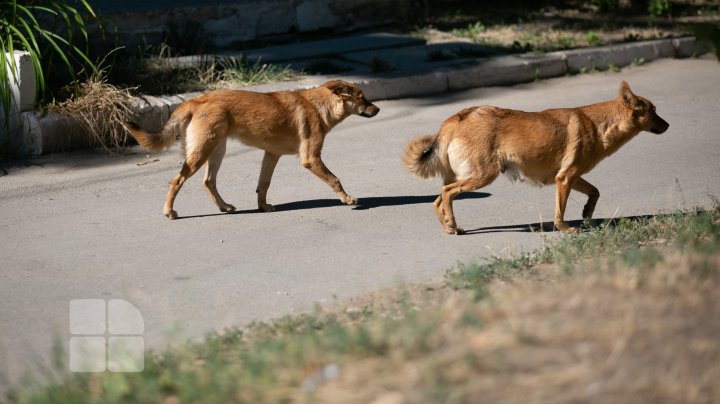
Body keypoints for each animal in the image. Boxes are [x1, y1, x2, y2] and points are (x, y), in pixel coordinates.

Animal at [126, 80, 380, 219]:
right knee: (177, 181)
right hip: (202, 152)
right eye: (362, 98)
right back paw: (169, 212)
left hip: (216, 151)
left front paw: (263, 206)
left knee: (209, 181)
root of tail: (195, 101)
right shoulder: (311, 158)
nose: (377, 109)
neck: (319, 106)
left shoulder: (271, 155)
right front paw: (347, 199)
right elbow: (335, 179)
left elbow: (263, 185)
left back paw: (224, 206)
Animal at [404, 81, 668, 234]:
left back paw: (451, 227)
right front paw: (565, 229)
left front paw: (586, 214)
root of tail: (456, 118)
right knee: (447, 194)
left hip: (464, 177)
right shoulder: (565, 179)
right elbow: (560, 210)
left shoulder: (571, 177)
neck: (598, 124)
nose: (667, 125)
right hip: (481, 177)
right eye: (654, 111)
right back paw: (451, 224)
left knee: (438, 200)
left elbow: (595, 192)